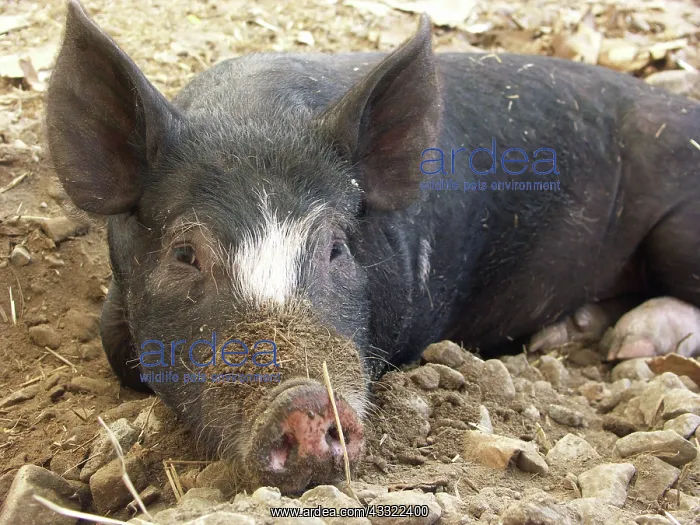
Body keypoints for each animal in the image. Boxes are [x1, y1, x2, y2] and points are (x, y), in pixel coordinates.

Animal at [46, 0, 700, 492]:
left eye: (336, 247)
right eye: (185, 254)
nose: (307, 401)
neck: (253, 117)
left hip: (679, 228)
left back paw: (629, 344)